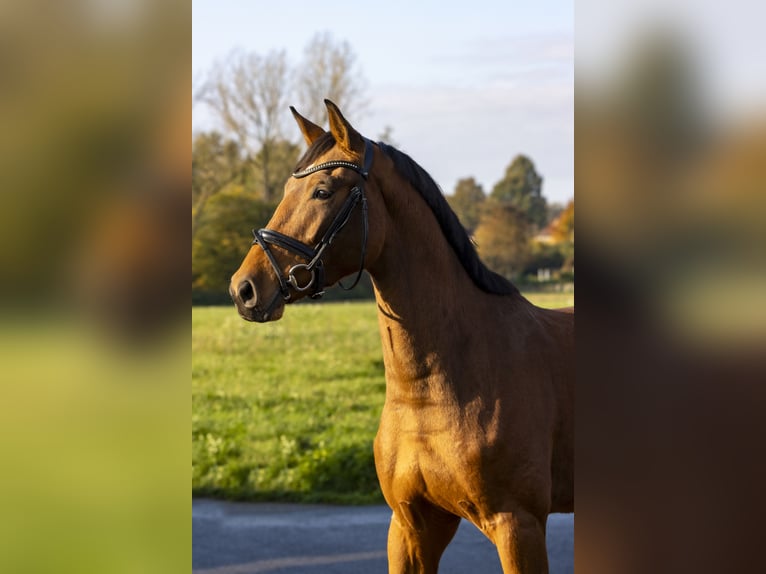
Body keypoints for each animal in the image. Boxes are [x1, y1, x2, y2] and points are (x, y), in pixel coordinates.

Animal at [231, 101, 572, 572]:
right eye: (286, 189)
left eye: (322, 191)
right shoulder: (412, 527)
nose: (244, 289)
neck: (436, 391)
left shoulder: (518, 526)